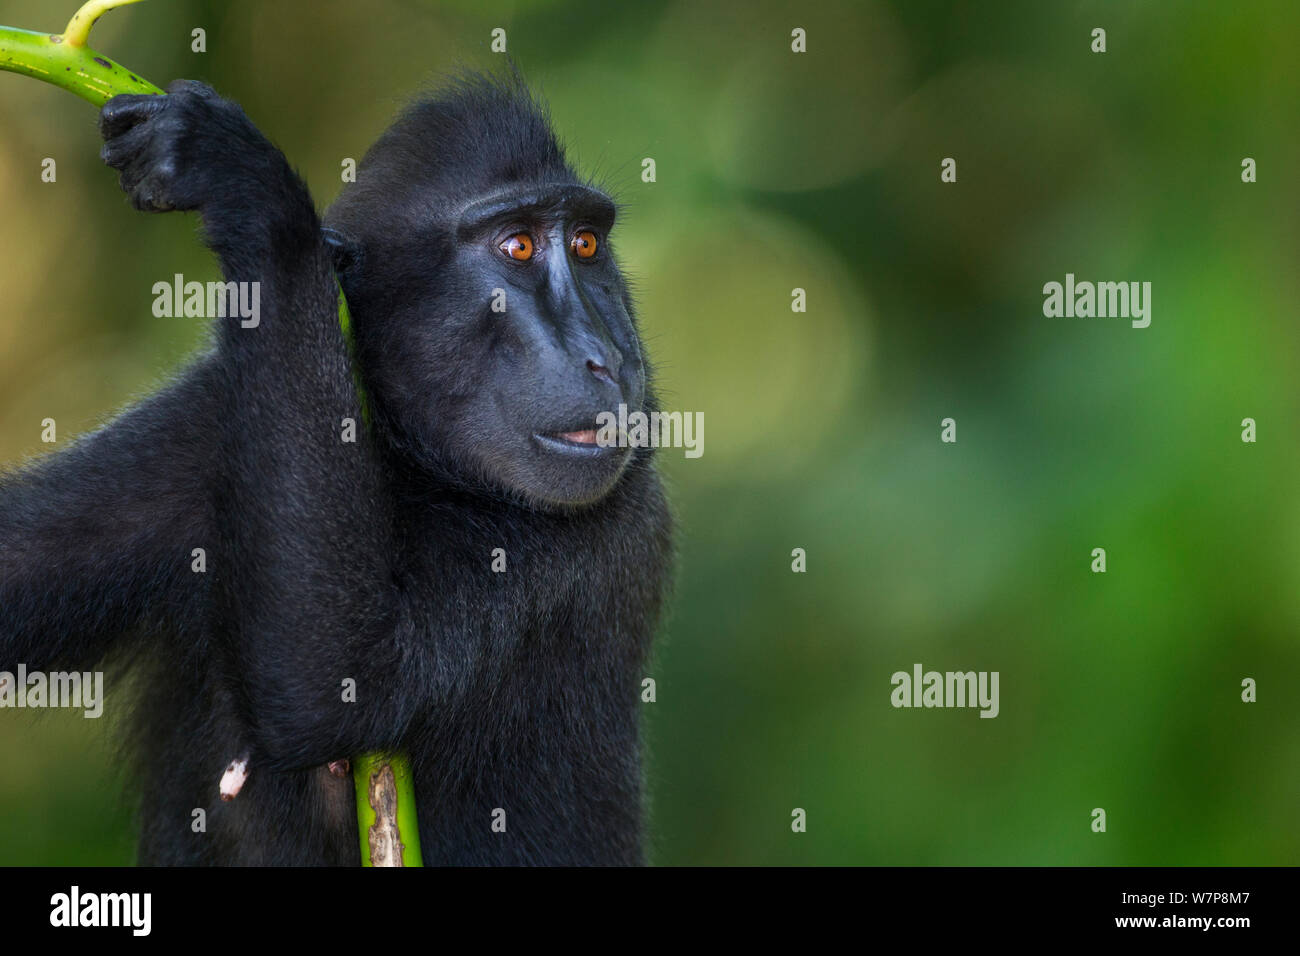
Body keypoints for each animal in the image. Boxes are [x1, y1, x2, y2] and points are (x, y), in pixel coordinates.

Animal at [0, 73, 673, 865]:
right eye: (519, 245)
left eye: (587, 243)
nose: (608, 358)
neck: (415, 468)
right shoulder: (200, 426)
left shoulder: (596, 534)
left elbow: (333, 687)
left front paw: (249, 186)